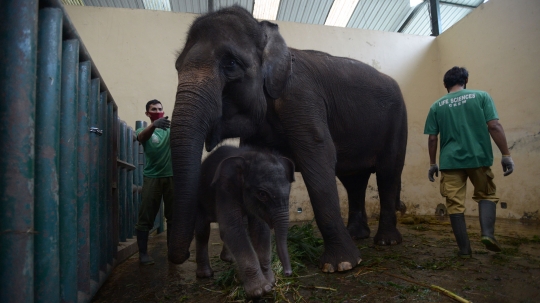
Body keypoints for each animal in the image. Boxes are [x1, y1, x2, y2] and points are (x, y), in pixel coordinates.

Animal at [169, 5, 404, 274]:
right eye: (177, 67)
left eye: (231, 63)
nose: (181, 256)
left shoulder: (302, 97)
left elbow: (320, 158)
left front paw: (341, 265)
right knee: (353, 180)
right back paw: (357, 235)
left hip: (397, 121)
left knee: (388, 173)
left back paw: (386, 241)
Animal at [195, 145, 296, 300]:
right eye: (262, 194)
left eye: (289, 191)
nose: (288, 273)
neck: (248, 155)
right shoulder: (225, 188)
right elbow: (232, 229)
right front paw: (260, 290)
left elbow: (260, 230)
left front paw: (270, 283)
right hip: (200, 198)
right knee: (202, 231)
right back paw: (205, 274)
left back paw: (228, 259)